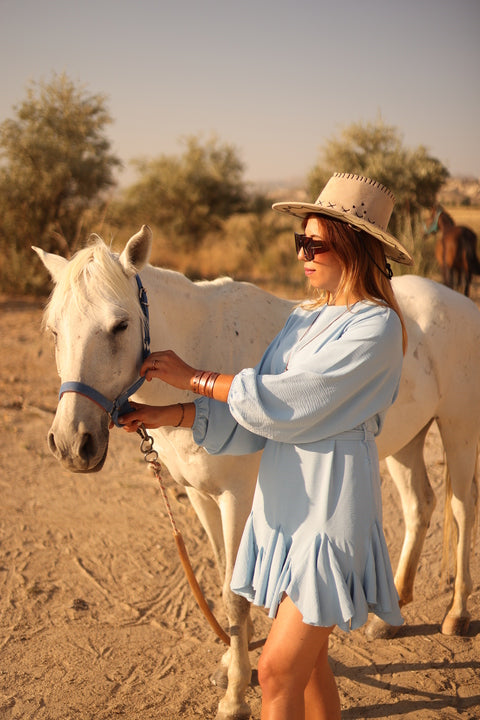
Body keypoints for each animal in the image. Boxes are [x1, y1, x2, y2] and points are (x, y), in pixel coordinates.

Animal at [34, 225, 480, 720]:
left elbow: (235, 594)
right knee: (420, 505)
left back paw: (457, 614)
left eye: (120, 326)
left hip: (459, 431)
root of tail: (461, 303)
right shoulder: (202, 498)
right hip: (406, 441)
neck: (203, 341)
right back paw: (391, 613)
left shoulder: (237, 499)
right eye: (54, 330)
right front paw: (233, 665)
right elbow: (223, 578)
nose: (72, 444)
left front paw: (234, 697)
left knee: (460, 509)